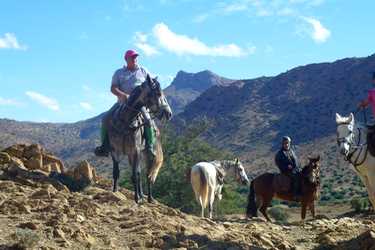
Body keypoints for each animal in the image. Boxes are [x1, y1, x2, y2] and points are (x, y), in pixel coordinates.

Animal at [103, 75, 173, 203]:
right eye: (158, 93)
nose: (169, 113)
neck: (125, 122)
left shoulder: (134, 151)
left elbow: (135, 175)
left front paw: (137, 199)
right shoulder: (115, 151)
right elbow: (116, 172)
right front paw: (115, 191)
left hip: (148, 155)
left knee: (148, 175)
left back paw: (149, 198)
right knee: (141, 173)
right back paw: (141, 194)